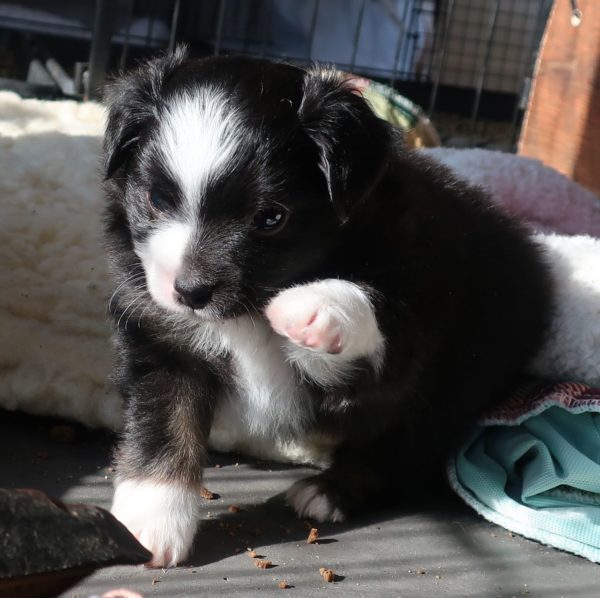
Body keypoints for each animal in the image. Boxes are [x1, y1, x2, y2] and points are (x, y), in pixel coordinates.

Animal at [102, 48, 552, 568]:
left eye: (270, 218)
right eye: (156, 198)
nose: (191, 292)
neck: (245, 315)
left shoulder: (408, 327)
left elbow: (372, 327)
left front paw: (314, 308)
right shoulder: (164, 346)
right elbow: (162, 424)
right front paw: (149, 517)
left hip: (449, 389)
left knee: (397, 454)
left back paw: (328, 490)